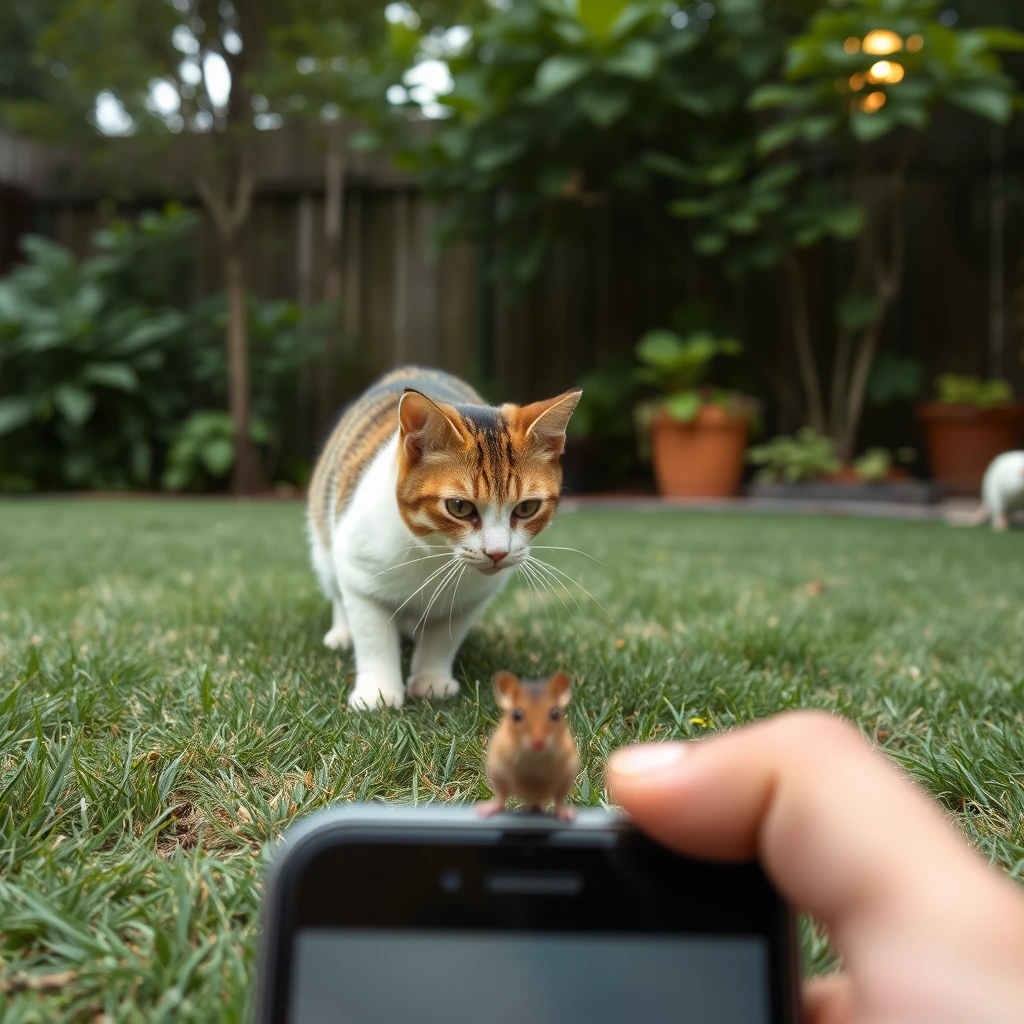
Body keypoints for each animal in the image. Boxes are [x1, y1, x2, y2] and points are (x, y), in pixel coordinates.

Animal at [303, 368, 581, 712]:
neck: (436, 556)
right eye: (459, 507)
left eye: (527, 508)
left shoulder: (471, 598)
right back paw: (342, 632)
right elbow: (372, 635)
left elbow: (443, 638)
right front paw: (377, 692)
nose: (498, 552)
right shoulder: (359, 571)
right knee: (335, 588)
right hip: (325, 542)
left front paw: (431, 680)